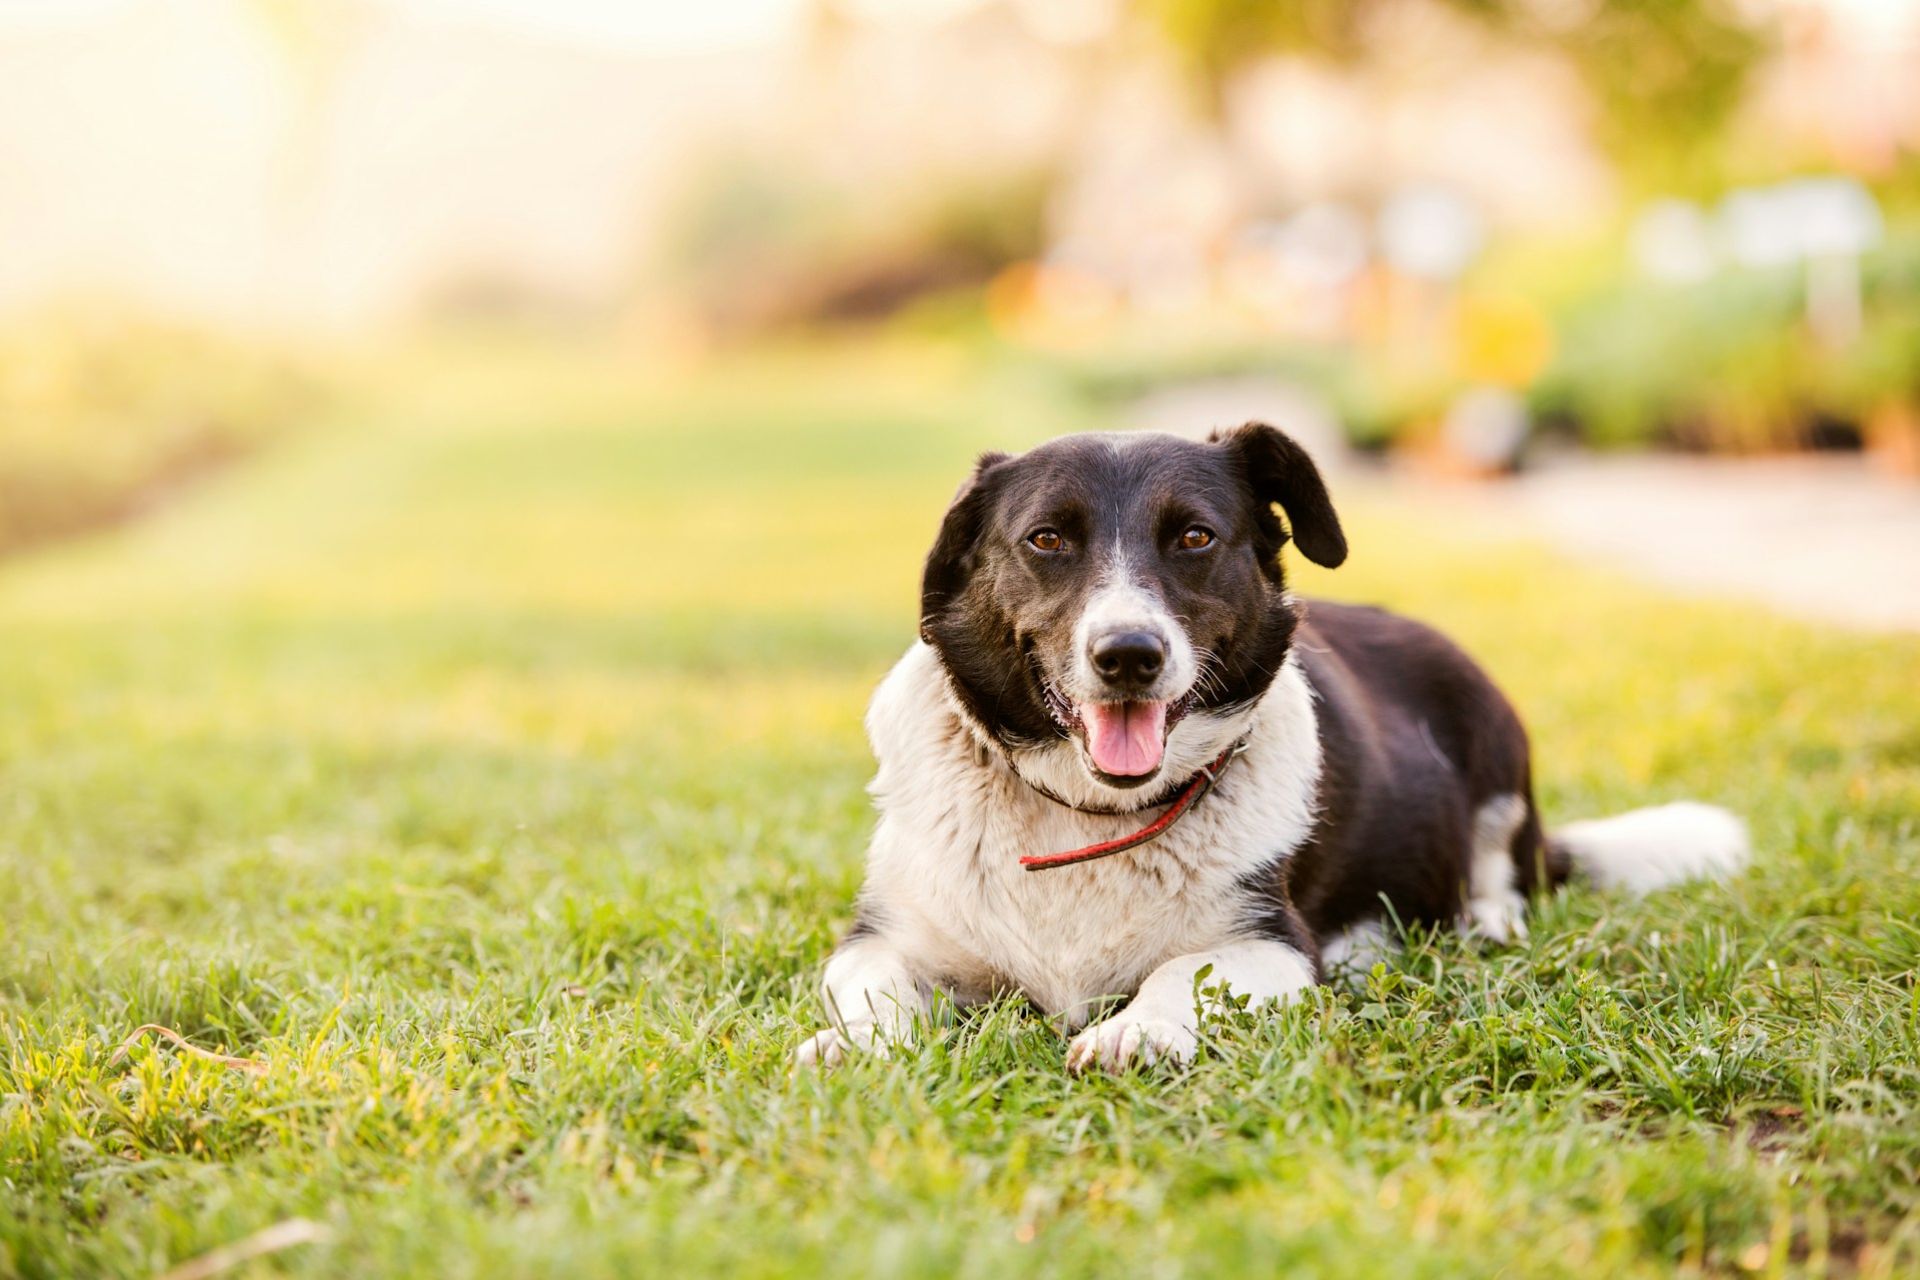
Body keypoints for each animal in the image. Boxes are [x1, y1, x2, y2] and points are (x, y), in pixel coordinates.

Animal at [794, 427, 1758, 1074]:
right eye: (1046, 539)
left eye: (1194, 537)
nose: (1129, 655)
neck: (1088, 813)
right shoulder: (883, 937)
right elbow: (875, 990)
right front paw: (852, 1046)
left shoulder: (1272, 944)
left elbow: (1178, 972)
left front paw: (1135, 1030)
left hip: (1491, 732)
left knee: (1496, 866)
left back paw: (1480, 919)